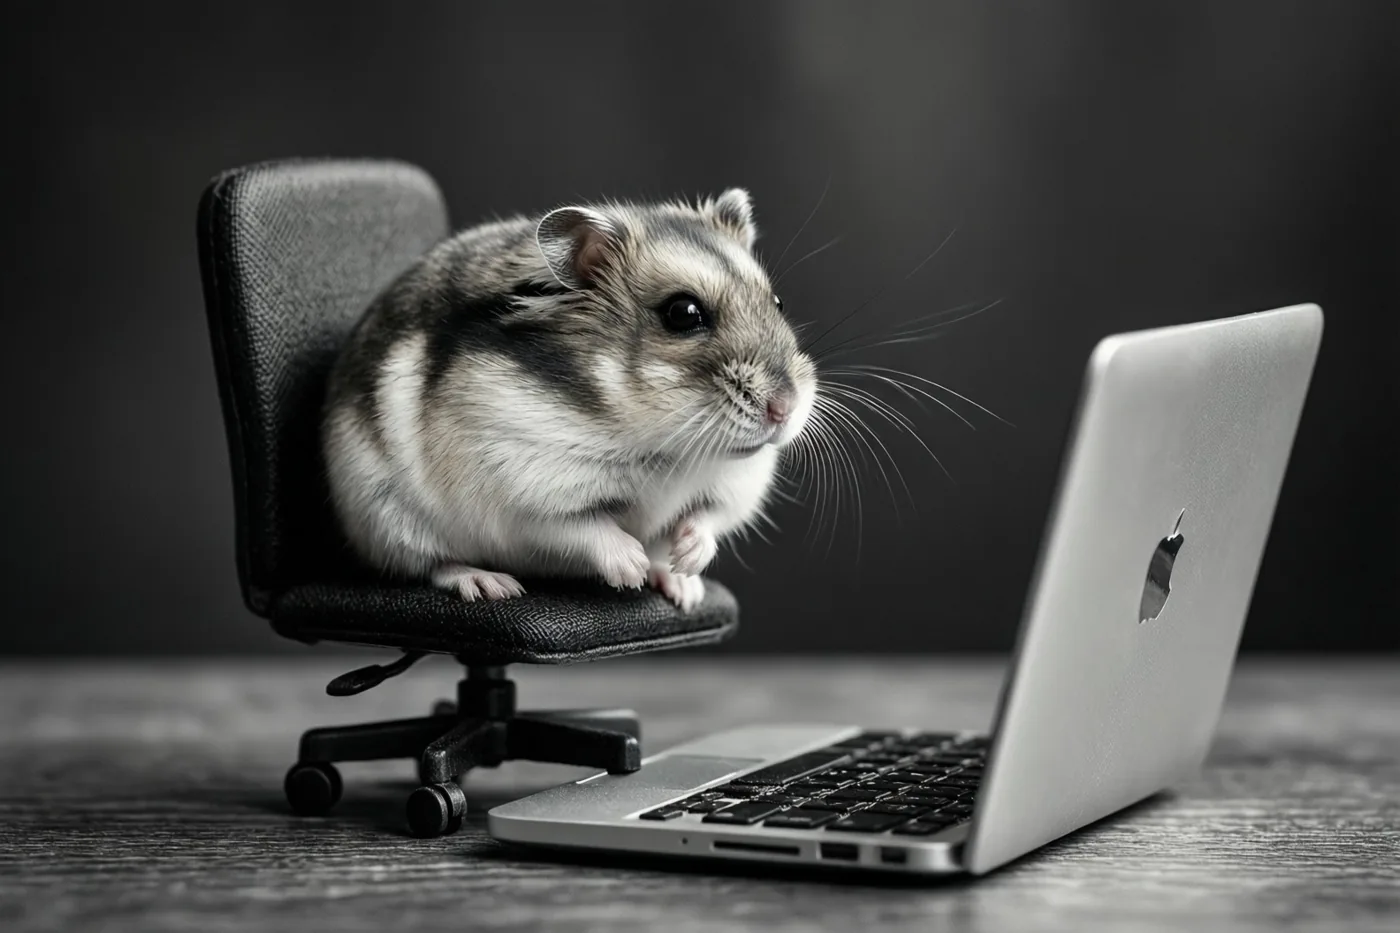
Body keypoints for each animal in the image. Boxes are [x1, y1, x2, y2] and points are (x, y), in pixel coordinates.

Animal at [321, 188, 817, 610]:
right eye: (683, 313)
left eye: (777, 303)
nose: (785, 409)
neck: (666, 444)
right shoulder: (524, 489)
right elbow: (581, 527)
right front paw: (631, 569)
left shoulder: (738, 484)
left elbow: (708, 517)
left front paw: (684, 564)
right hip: (388, 518)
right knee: (432, 564)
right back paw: (491, 584)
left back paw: (678, 586)